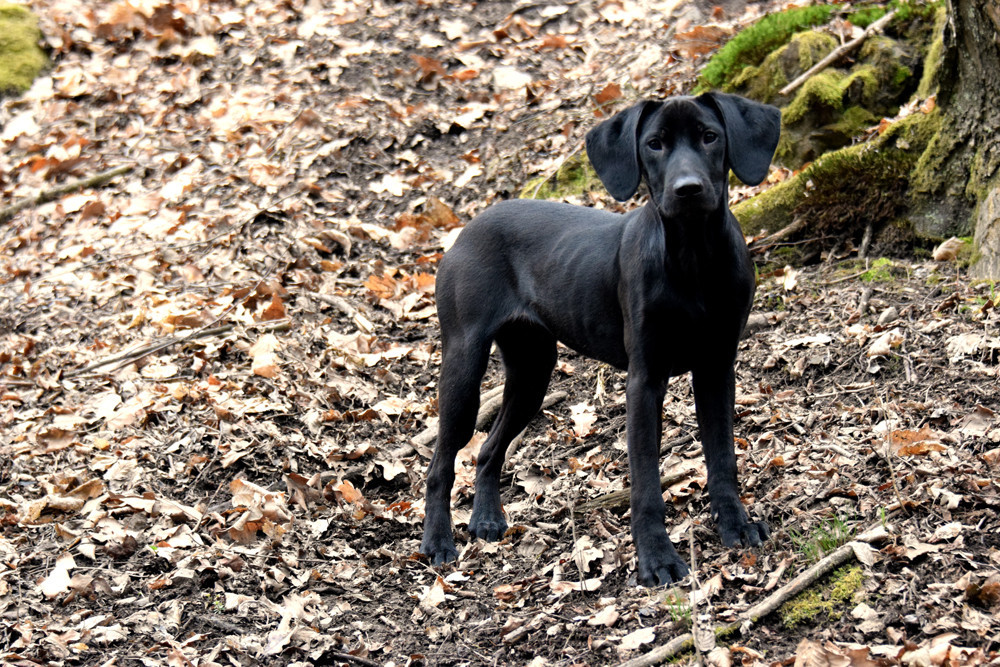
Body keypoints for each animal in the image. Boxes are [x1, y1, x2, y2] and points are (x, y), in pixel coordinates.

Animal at [419, 92, 781, 586]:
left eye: (710, 136)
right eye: (654, 144)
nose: (687, 189)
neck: (693, 260)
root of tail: (468, 227)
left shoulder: (717, 367)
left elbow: (723, 457)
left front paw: (736, 525)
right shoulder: (645, 379)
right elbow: (646, 480)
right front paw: (656, 559)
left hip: (532, 373)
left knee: (488, 450)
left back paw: (486, 519)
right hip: (464, 366)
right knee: (440, 463)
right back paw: (437, 542)